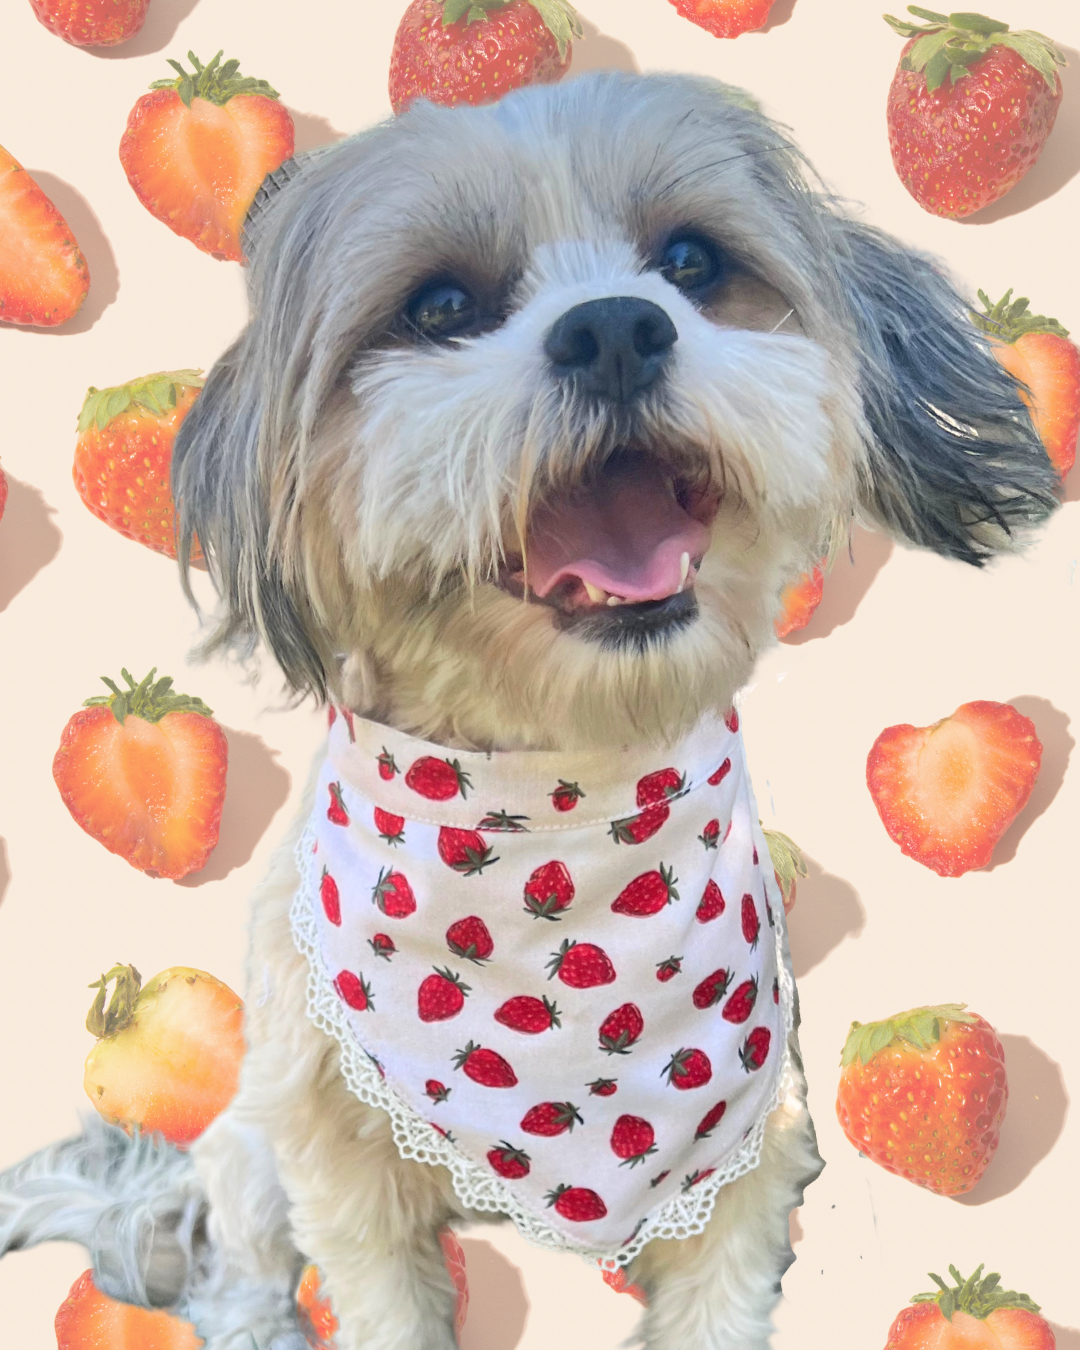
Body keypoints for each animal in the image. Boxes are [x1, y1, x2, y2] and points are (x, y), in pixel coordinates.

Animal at [0, 65, 1058, 1350]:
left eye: (692, 261)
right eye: (442, 304)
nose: (615, 328)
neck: (556, 817)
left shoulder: (752, 1153)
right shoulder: (334, 1154)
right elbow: (378, 1291)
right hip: (254, 1131)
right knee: (241, 1249)